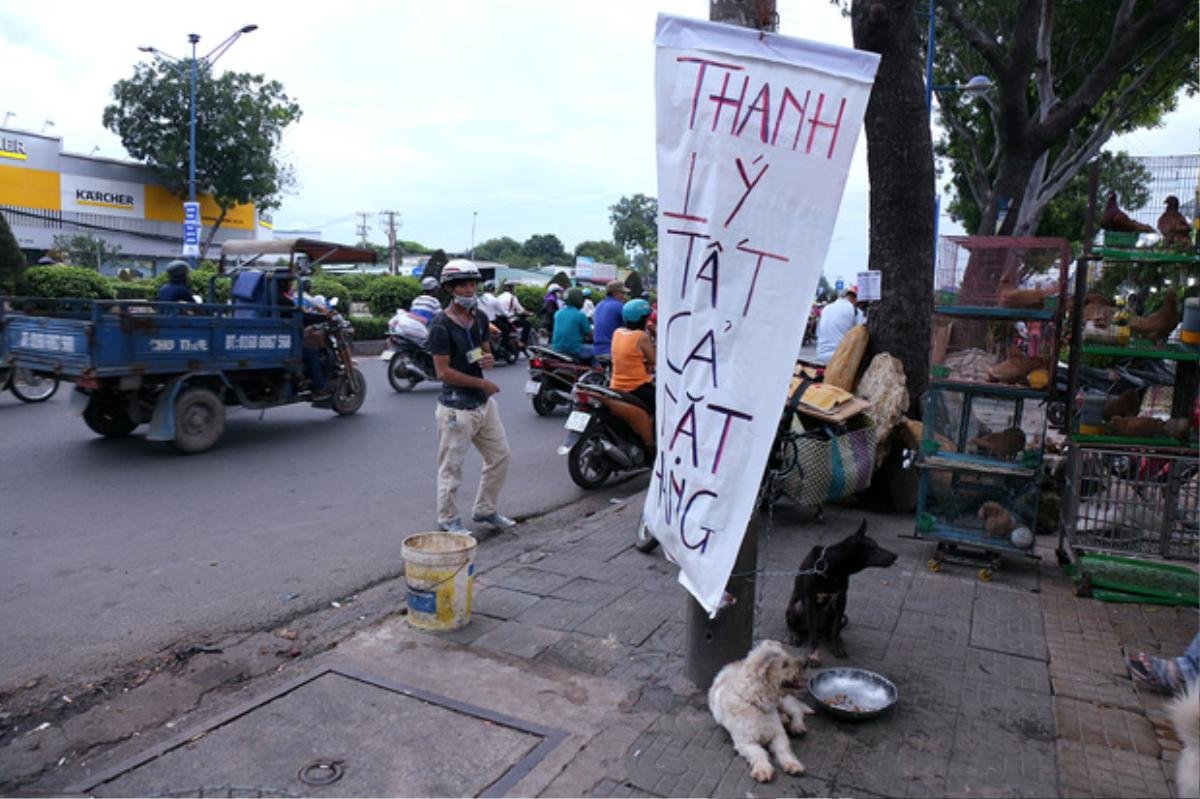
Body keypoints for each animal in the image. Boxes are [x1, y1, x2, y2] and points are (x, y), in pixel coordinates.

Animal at [710, 638, 816, 782]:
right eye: (784, 664)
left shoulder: (779, 734)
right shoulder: (745, 742)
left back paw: (797, 725)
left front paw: (792, 764)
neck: (756, 703)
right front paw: (763, 769)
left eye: (788, 655)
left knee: (796, 710)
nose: (806, 663)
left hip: (784, 701)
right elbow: (759, 753)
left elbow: (784, 749)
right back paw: (784, 718)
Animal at [782, 515, 897, 657]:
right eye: (875, 548)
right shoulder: (809, 600)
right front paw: (813, 653)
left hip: (832, 609)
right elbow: (812, 632)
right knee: (797, 626)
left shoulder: (841, 598)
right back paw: (794, 635)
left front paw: (837, 646)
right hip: (796, 607)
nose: (896, 556)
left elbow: (836, 628)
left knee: (830, 629)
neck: (833, 567)